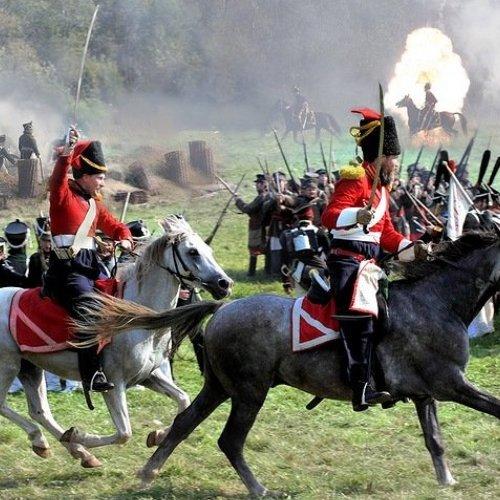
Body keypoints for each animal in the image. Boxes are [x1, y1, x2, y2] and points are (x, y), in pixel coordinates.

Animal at [0, 215, 232, 468]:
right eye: (192, 252)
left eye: (208, 250)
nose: (225, 283)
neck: (138, 319)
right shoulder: (113, 384)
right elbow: (124, 433)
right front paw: (79, 435)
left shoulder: (148, 376)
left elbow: (183, 400)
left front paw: (158, 435)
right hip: (8, 367)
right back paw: (54, 441)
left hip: (29, 367)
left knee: (40, 411)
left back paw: (71, 450)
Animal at [76, 231, 500, 495]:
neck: (435, 303)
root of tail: (223, 309)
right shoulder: (450, 385)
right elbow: (495, 408)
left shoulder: (427, 393)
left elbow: (435, 441)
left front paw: (447, 481)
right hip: (249, 394)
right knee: (230, 441)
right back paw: (258, 488)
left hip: (219, 389)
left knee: (184, 423)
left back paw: (147, 472)